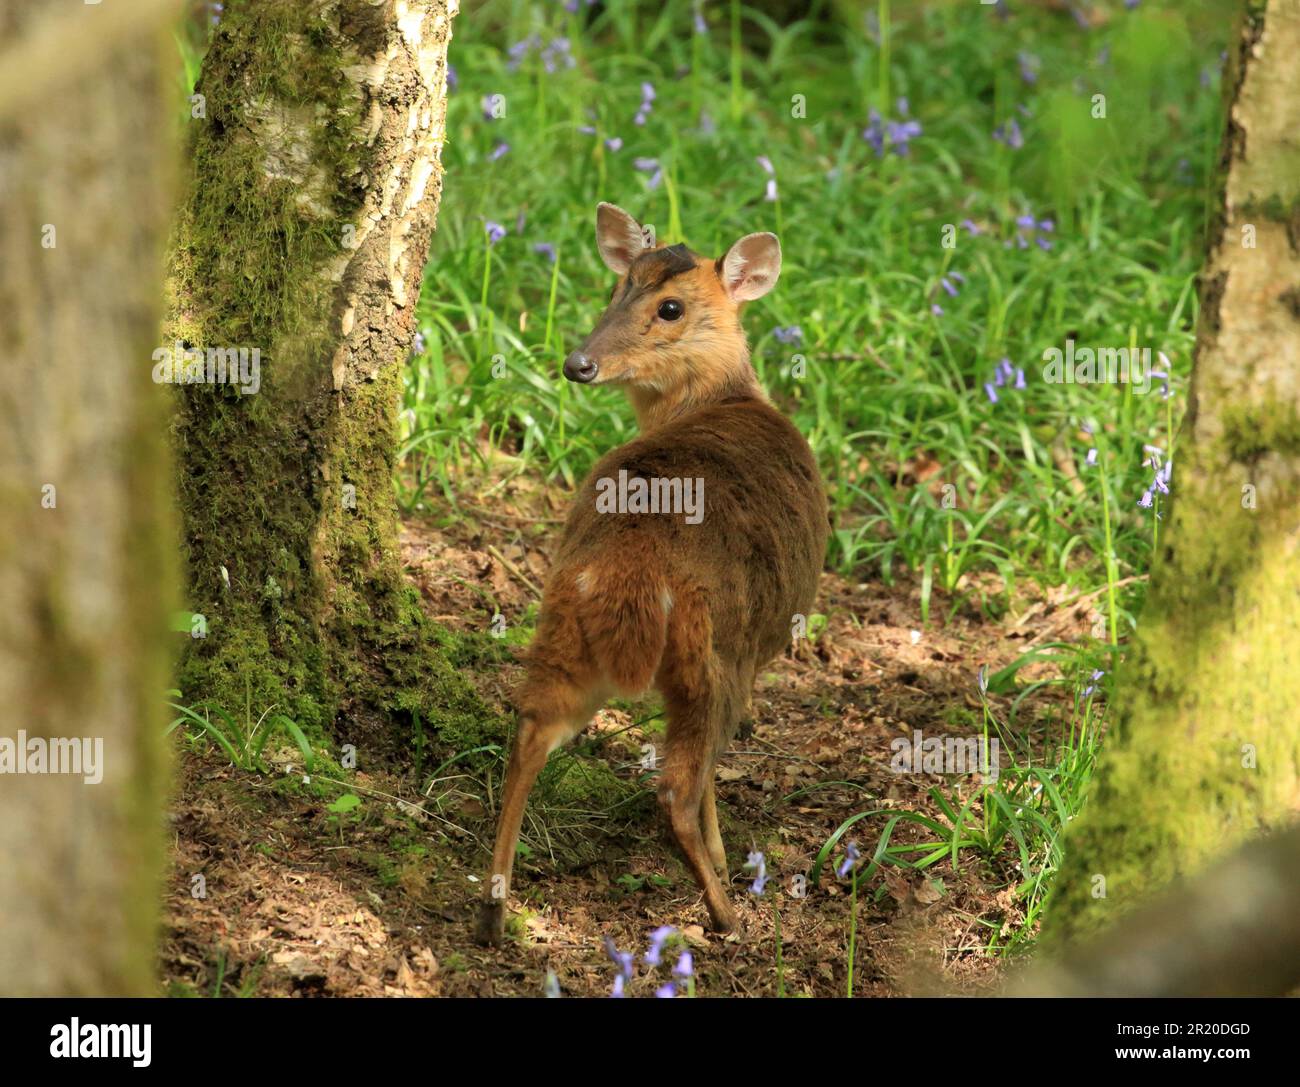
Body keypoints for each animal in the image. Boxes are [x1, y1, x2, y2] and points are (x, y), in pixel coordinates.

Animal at [475, 202, 827, 945]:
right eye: (618, 288)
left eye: (669, 306)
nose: (578, 362)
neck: (722, 398)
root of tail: (624, 570)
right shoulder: (748, 654)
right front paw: (725, 857)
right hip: (711, 653)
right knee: (676, 785)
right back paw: (726, 915)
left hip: (561, 623)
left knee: (527, 733)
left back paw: (493, 908)